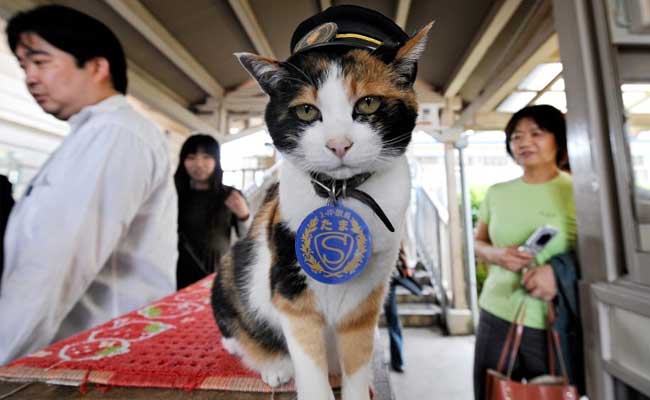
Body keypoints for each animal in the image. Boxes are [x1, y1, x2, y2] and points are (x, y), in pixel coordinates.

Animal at [210, 21, 428, 400]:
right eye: (307, 111)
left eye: (368, 103)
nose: (339, 144)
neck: (343, 193)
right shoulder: (291, 287)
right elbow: (310, 367)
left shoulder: (368, 295)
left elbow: (358, 357)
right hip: (227, 274)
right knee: (238, 337)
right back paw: (273, 365)